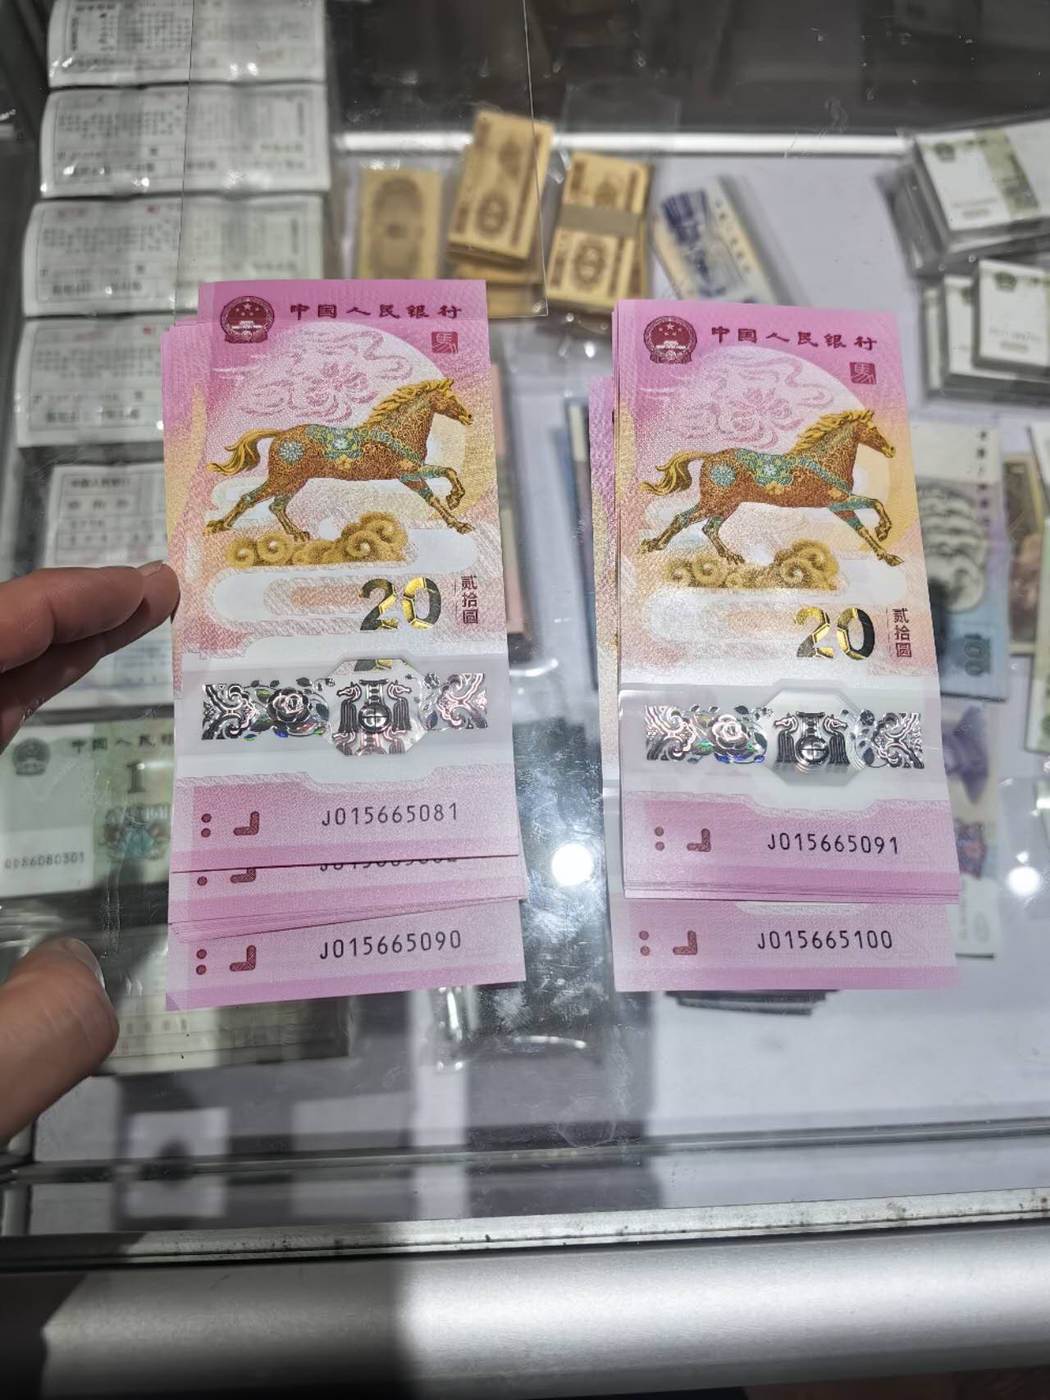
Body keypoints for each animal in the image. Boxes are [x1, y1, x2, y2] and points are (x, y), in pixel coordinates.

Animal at [204, 378, 473, 541]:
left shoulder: (414, 470)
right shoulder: (407, 474)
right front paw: (456, 513)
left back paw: (298, 534)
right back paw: (219, 525)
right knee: (249, 498)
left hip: (295, 481)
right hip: (283, 477)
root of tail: (280, 435)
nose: (469, 417)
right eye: (450, 398)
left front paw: (455, 504)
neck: (398, 431)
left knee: (276, 506)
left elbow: (446, 475)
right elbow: (438, 490)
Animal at [639, 408, 901, 566]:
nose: (891, 450)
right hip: (715, 501)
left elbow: (862, 530)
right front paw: (884, 530)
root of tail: (710, 456)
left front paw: (888, 556)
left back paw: (730, 556)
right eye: (874, 429)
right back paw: (655, 545)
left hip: (727, 504)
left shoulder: (840, 507)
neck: (827, 460)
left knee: (708, 528)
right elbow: (876, 502)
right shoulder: (838, 502)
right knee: (683, 519)